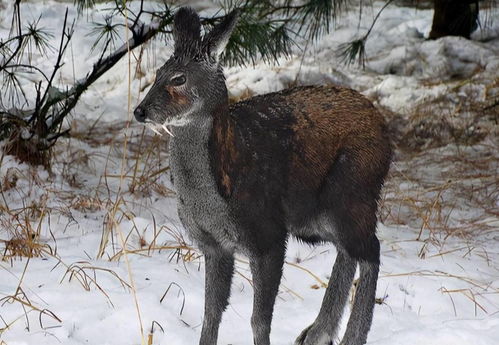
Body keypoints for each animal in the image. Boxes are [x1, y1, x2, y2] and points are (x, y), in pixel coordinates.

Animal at [135, 6, 392, 344]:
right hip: (313, 216)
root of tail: (382, 123)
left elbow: (259, 319)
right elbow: (211, 313)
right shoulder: (214, 245)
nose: (140, 111)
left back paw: (349, 337)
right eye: (156, 74)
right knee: (350, 250)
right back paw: (316, 332)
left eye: (179, 79)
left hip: (353, 191)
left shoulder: (268, 235)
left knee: (370, 249)